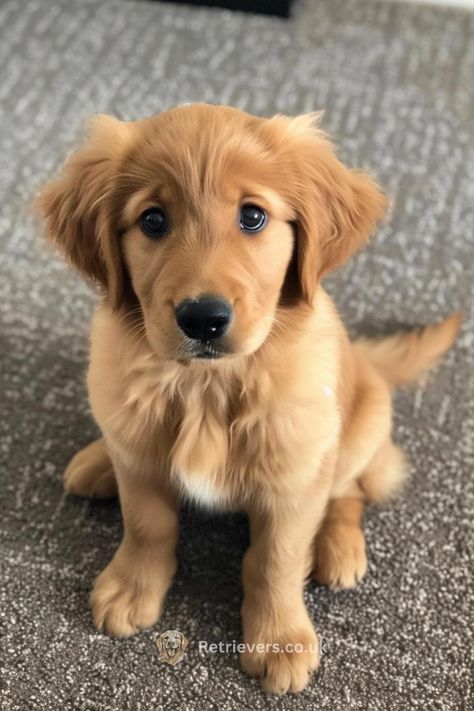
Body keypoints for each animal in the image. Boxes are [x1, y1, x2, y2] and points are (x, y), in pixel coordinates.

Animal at [39, 104, 462, 696]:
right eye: (152, 220)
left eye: (253, 217)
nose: (202, 318)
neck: (206, 385)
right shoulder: (142, 466)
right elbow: (148, 524)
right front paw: (131, 586)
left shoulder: (295, 477)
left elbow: (274, 561)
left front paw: (280, 639)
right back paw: (98, 461)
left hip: (362, 427)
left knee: (352, 489)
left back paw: (339, 548)